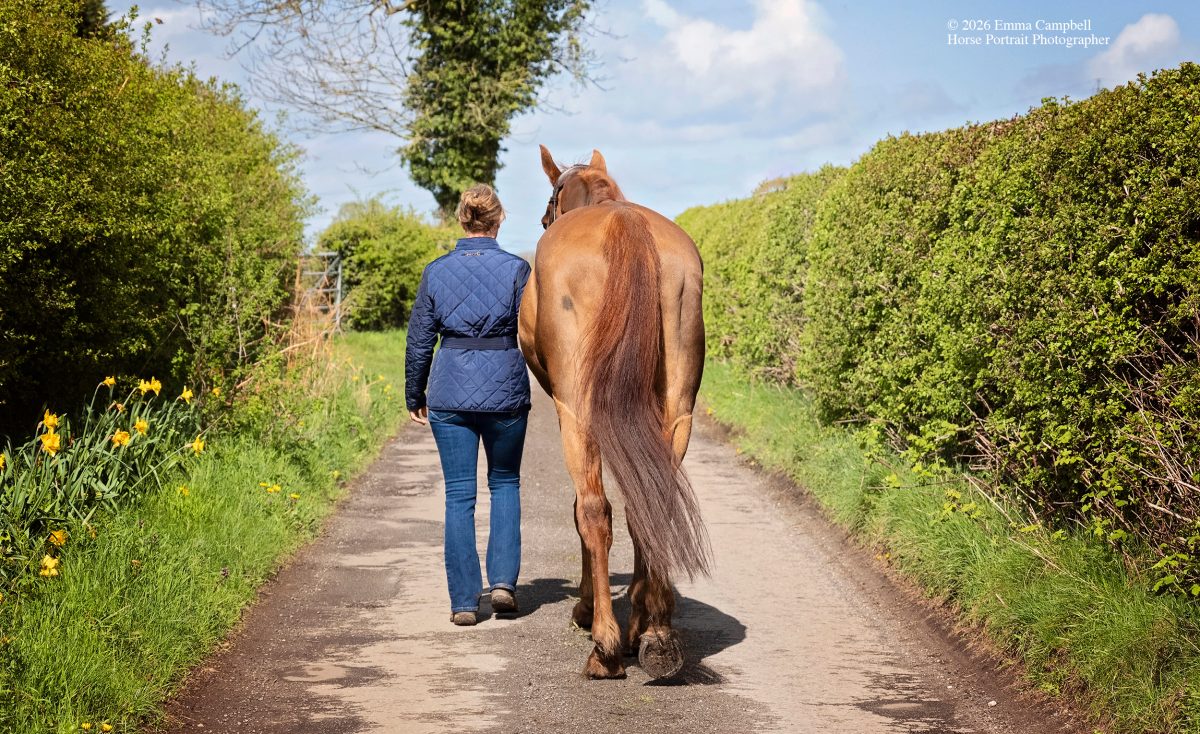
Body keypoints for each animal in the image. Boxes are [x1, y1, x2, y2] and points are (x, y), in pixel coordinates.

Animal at [518, 145, 710, 679]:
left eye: (551, 199)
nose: (545, 219)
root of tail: (625, 224)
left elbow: (581, 509)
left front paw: (587, 611)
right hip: (676, 413)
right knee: (651, 504)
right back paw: (655, 635)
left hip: (578, 412)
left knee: (594, 509)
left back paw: (604, 643)